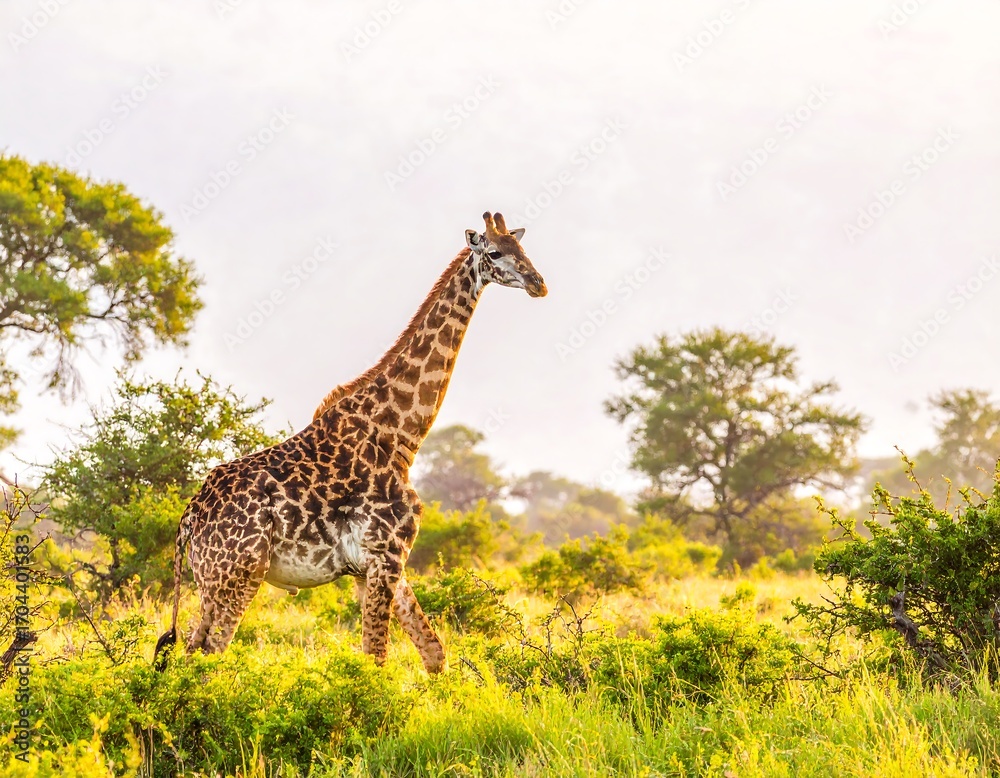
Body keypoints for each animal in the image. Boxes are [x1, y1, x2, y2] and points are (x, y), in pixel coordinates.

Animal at [154, 211, 547, 674]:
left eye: (524, 249)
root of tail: (188, 520)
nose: (538, 283)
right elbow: (376, 657)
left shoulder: (374, 564)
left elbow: (433, 652)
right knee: (208, 653)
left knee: (189, 649)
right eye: (495, 253)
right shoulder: (384, 554)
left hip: (212, 582)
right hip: (237, 574)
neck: (400, 436)